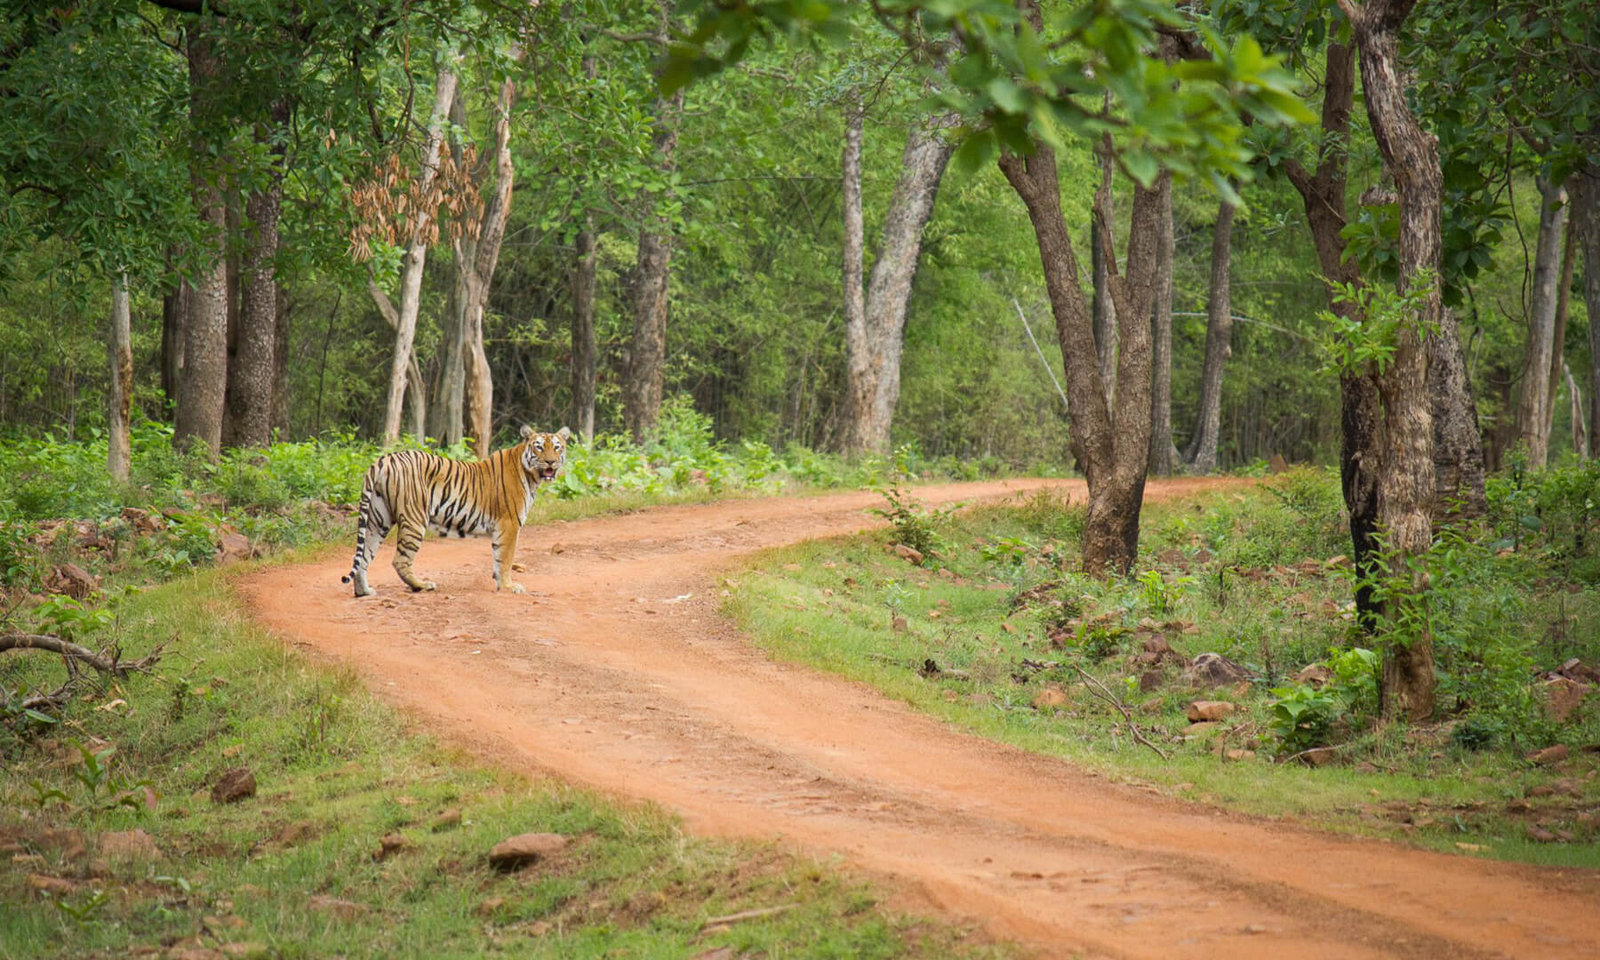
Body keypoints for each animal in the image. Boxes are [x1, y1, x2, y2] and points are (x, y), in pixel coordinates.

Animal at [341, 425, 571, 597]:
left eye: (557, 447)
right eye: (539, 447)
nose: (550, 462)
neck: (532, 476)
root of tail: (385, 459)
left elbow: (498, 558)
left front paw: (500, 583)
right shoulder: (510, 524)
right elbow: (506, 558)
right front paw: (509, 587)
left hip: (377, 518)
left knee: (363, 556)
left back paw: (363, 592)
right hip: (414, 518)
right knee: (400, 560)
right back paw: (422, 585)